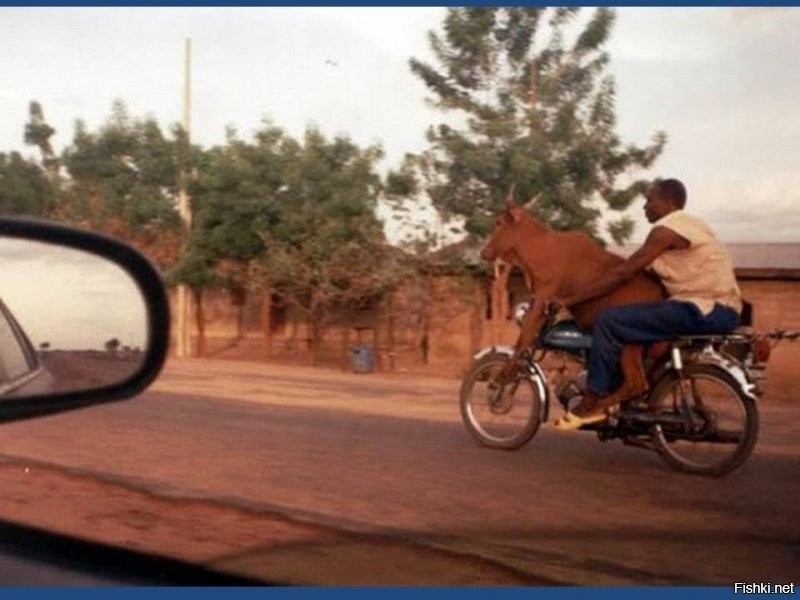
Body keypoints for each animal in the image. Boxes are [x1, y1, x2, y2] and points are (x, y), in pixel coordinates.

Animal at [482, 196, 664, 418]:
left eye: (498, 222)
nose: (484, 252)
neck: (539, 248)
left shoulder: (542, 298)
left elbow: (522, 340)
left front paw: (501, 380)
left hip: (631, 343)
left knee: (637, 382)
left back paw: (595, 408)